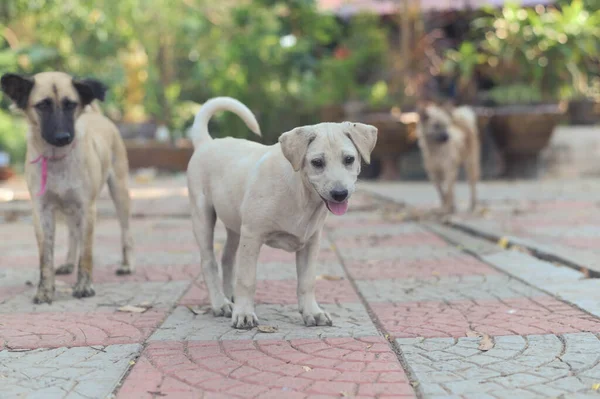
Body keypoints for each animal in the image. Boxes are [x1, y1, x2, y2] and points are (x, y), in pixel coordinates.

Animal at [0, 72, 134, 304]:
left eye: (71, 104)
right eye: (42, 105)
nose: (63, 137)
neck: (56, 158)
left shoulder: (87, 209)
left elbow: (86, 253)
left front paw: (84, 286)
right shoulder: (42, 212)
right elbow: (46, 257)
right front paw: (45, 290)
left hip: (119, 191)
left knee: (124, 230)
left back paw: (126, 265)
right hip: (67, 208)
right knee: (72, 233)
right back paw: (69, 263)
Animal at [185, 97, 378, 328]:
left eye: (349, 159)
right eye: (317, 162)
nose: (340, 194)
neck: (301, 196)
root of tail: (207, 142)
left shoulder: (311, 242)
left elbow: (307, 281)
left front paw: (312, 312)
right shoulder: (252, 236)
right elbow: (247, 279)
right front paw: (244, 313)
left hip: (235, 225)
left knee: (227, 258)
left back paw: (230, 297)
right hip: (203, 216)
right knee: (209, 262)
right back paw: (220, 303)